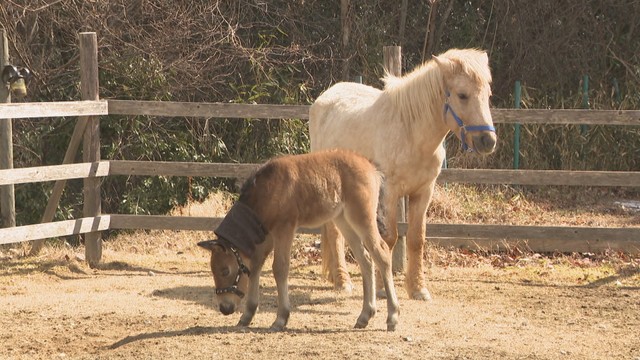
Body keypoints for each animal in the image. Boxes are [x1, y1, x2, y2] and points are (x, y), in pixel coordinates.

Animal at [308, 48, 496, 300]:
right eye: (462, 95)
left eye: (488, 94)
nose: (488, 140)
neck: (412, 132)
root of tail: (324, 98)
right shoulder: (389, 192)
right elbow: (388, 240)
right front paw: (382, 288)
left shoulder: (423, 192)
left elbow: (417, 239)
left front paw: (418, 289)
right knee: (334, 232)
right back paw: (342, 281)